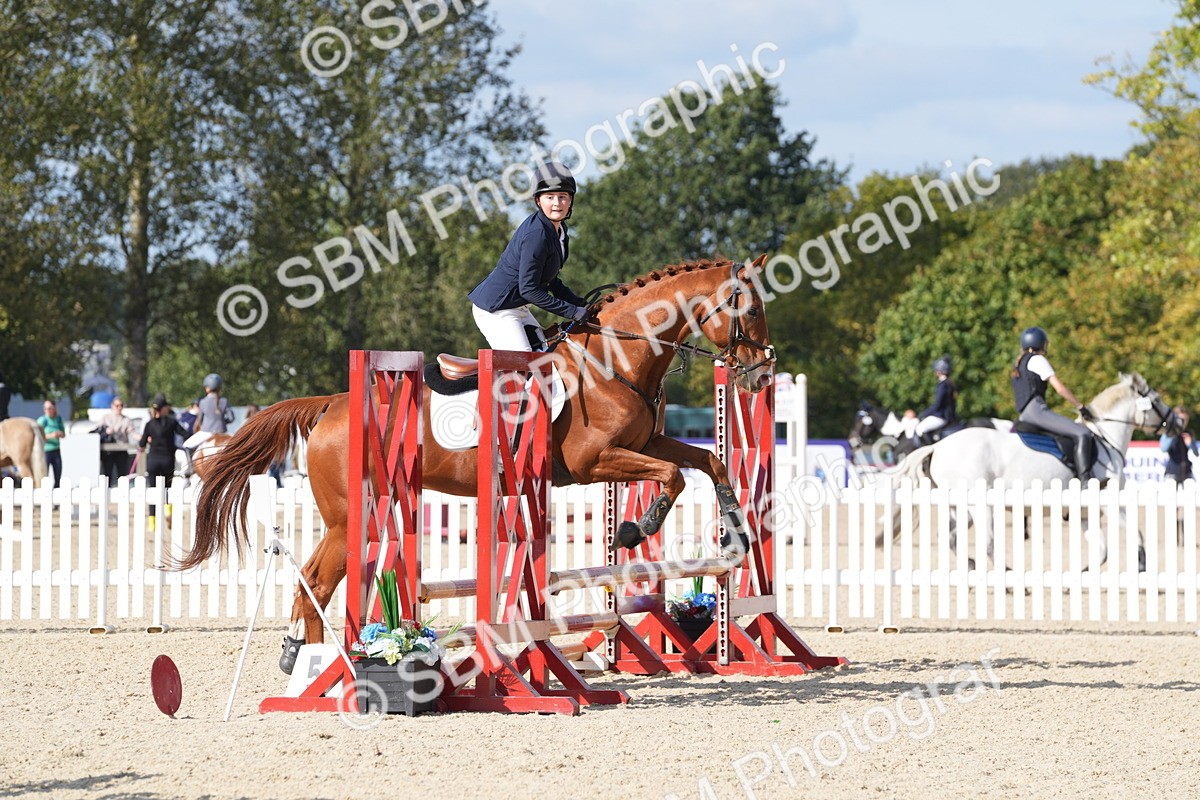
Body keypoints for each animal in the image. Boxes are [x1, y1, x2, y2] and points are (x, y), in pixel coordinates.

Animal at [179, 257, 778, 672]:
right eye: (749, 309)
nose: (761, 376)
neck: (616, 361)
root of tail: (329, 404)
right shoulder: (595, 462)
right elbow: (672, 477)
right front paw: (635, 528)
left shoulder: (648, 444)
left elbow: (707, 461)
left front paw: (735, 531)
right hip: (351, 518)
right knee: (317, 584)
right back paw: (324, 666)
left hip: (360, 514)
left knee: (313, 582)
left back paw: (302, 656)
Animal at [892, 372, 1176, 567]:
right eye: (1157, 399)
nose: (1177, 421)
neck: (1105, 438)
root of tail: (938, 446)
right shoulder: (1110, 504)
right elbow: (1136, 535)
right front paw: (1141, 567)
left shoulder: (1086, 512)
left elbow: (1102, 551)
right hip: (978, 505)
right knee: (988, 544)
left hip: (959, 507)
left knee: (950, 538)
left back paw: (972, 568)